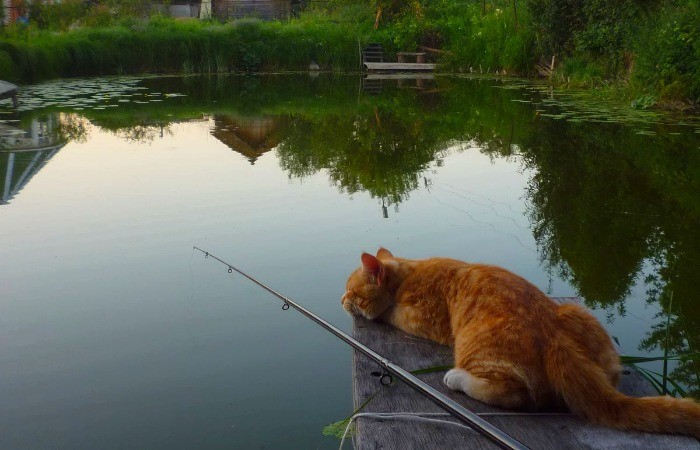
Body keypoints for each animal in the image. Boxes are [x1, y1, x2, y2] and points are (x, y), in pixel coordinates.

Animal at [344, 248, 700, 438]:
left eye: (349, 292)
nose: (341, 300)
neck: (408, 271)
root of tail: (555, 337)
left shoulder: (415, 316)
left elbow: (389, 314)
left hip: (475, 346)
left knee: (513, 394)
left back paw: (456, 378)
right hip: (583, 322)